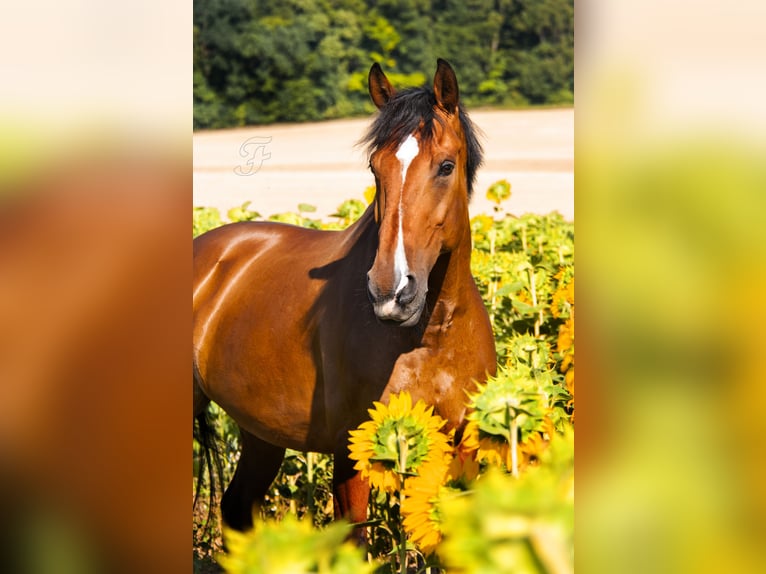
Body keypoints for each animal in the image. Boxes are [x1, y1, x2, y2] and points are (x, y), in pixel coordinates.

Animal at [193, 59, 497, 534]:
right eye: (375, 168)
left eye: (446, 166)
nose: (391, 292)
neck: (431, 338)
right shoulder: (351, 454)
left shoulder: (462, 451)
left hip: (260, 433)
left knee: (237, 507)